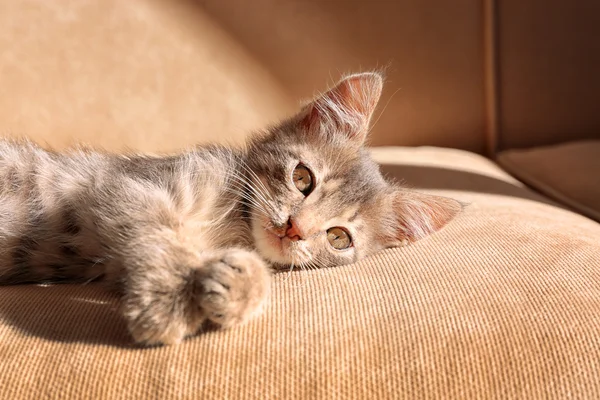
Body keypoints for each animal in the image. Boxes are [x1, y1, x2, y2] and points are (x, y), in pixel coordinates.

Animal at [0, 73, 460, 346]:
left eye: (338, 237)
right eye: (303, 178)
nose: (294, 228)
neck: (232, 225)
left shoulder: (113, 259)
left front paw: (238, 283)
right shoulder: (126, 186)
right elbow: (160, 233)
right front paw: (167, 300)